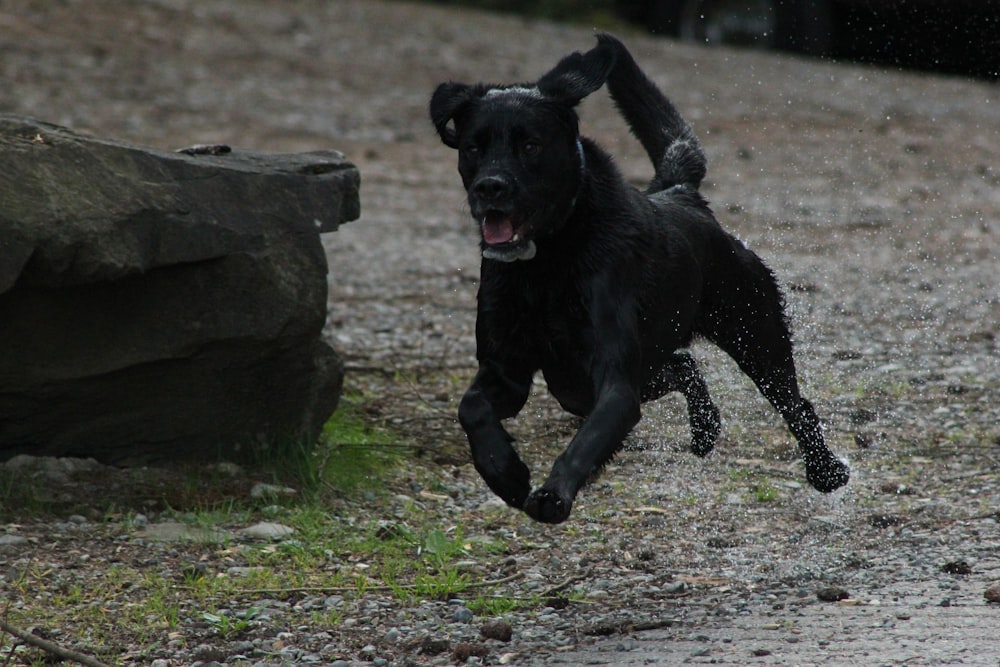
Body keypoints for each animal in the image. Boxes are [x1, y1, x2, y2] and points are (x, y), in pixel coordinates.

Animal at [432, 34, 852, 524]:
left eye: (531, 146)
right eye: (473, 147)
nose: (490, 188)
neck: (548, 263)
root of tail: (682, 195)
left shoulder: (613, 380)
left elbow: (587, 441)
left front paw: (554, 493)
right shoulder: (507, 369)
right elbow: (472, 407)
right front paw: (506, 473)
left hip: (754, 334)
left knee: (793, 402)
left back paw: (825, 470)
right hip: (580, 383)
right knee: (683, 364)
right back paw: (705, 427)